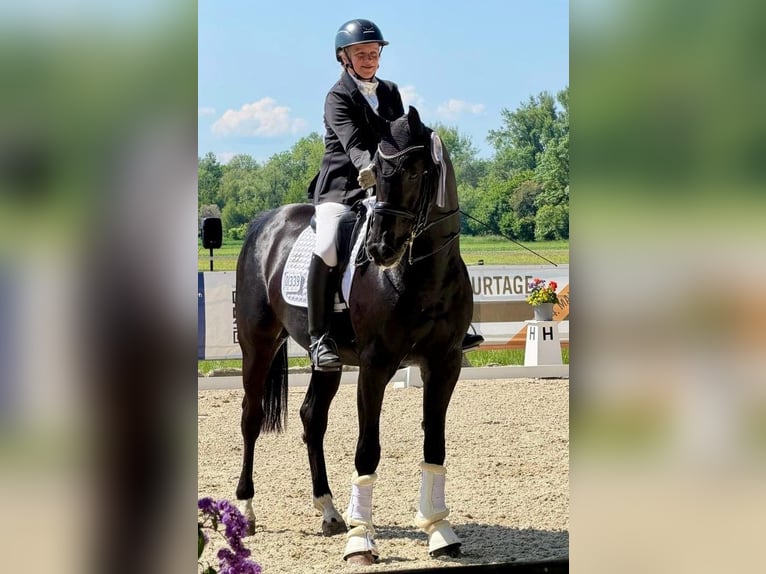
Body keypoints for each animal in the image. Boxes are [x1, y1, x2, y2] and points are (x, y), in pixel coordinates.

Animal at [234, 106, 473, 565]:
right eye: (376, 172)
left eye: (414, 171)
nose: (379, 250)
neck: (422, 274)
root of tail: (264, 223)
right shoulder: (375, 366)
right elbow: (368, 449)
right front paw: (362, 539)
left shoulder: (445, 363)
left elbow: (435, 444)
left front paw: (439, 530)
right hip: (258, 344)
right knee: (251, 418)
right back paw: (246, 510)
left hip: (324, 360)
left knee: (312, 417)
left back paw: (329, 511)